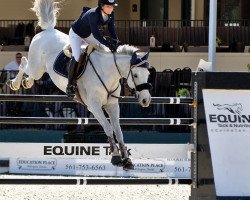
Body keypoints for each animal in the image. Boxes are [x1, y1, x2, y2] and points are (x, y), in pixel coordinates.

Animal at [8, 0, 151, 170]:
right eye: (135, 75)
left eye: (148, 74)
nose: (146, 100)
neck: (107, 71)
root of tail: (48, 31)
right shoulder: (94, 106)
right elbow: (108, 128)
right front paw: (116, 158)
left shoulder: (112, 104)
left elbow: (118, 130)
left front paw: (127, 160)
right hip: (37, 67)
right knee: (24, 64)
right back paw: (16, 83)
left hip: (39, 69)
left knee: (28, 71)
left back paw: (26, 82)